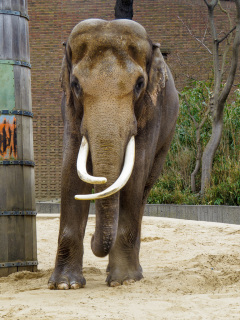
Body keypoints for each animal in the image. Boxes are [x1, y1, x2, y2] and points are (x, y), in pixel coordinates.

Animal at [48, 18, 178, 290]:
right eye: (75, 84)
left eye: (139, 84)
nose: (92, 237)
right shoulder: (69, 109)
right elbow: (71, 169)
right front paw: (65, 285)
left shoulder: (153, 110)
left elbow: (136, 171)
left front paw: (123, 280)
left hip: (167, 137)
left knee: (144, 189)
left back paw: (132, 273)